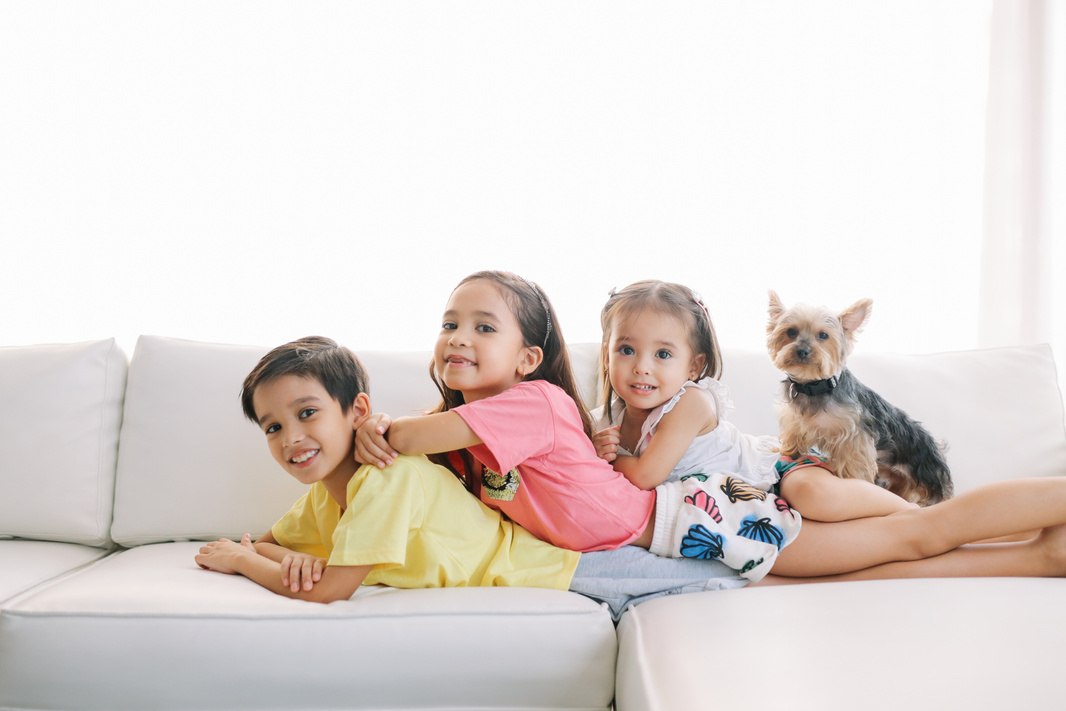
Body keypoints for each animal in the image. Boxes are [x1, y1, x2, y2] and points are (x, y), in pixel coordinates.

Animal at [763, 289, 955, 505]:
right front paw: (784, 452)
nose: (803, 351)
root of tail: (938, 451)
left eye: (823, 335)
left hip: (928, 483)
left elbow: (853, 460)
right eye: (791, 332)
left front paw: (850, 478)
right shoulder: (795, 421)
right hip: (898, 482)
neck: (814, 386)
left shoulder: (856, 434)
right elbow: (793, 438)